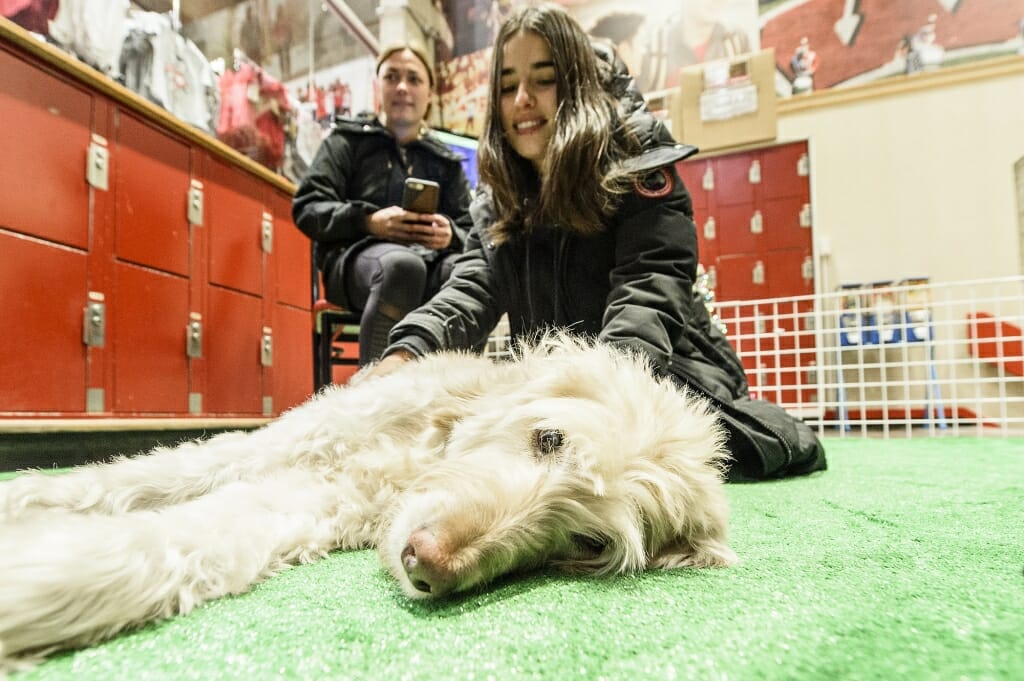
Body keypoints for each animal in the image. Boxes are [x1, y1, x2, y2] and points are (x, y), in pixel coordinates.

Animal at [0, 335, 737, 667]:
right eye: (549, 438)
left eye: (586, 540)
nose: (428, 563)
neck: (418, 457)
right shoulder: (285, 443)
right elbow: (152, 472)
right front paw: (30, 504)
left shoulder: (316, 500)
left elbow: (194, 539)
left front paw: (43, 577)